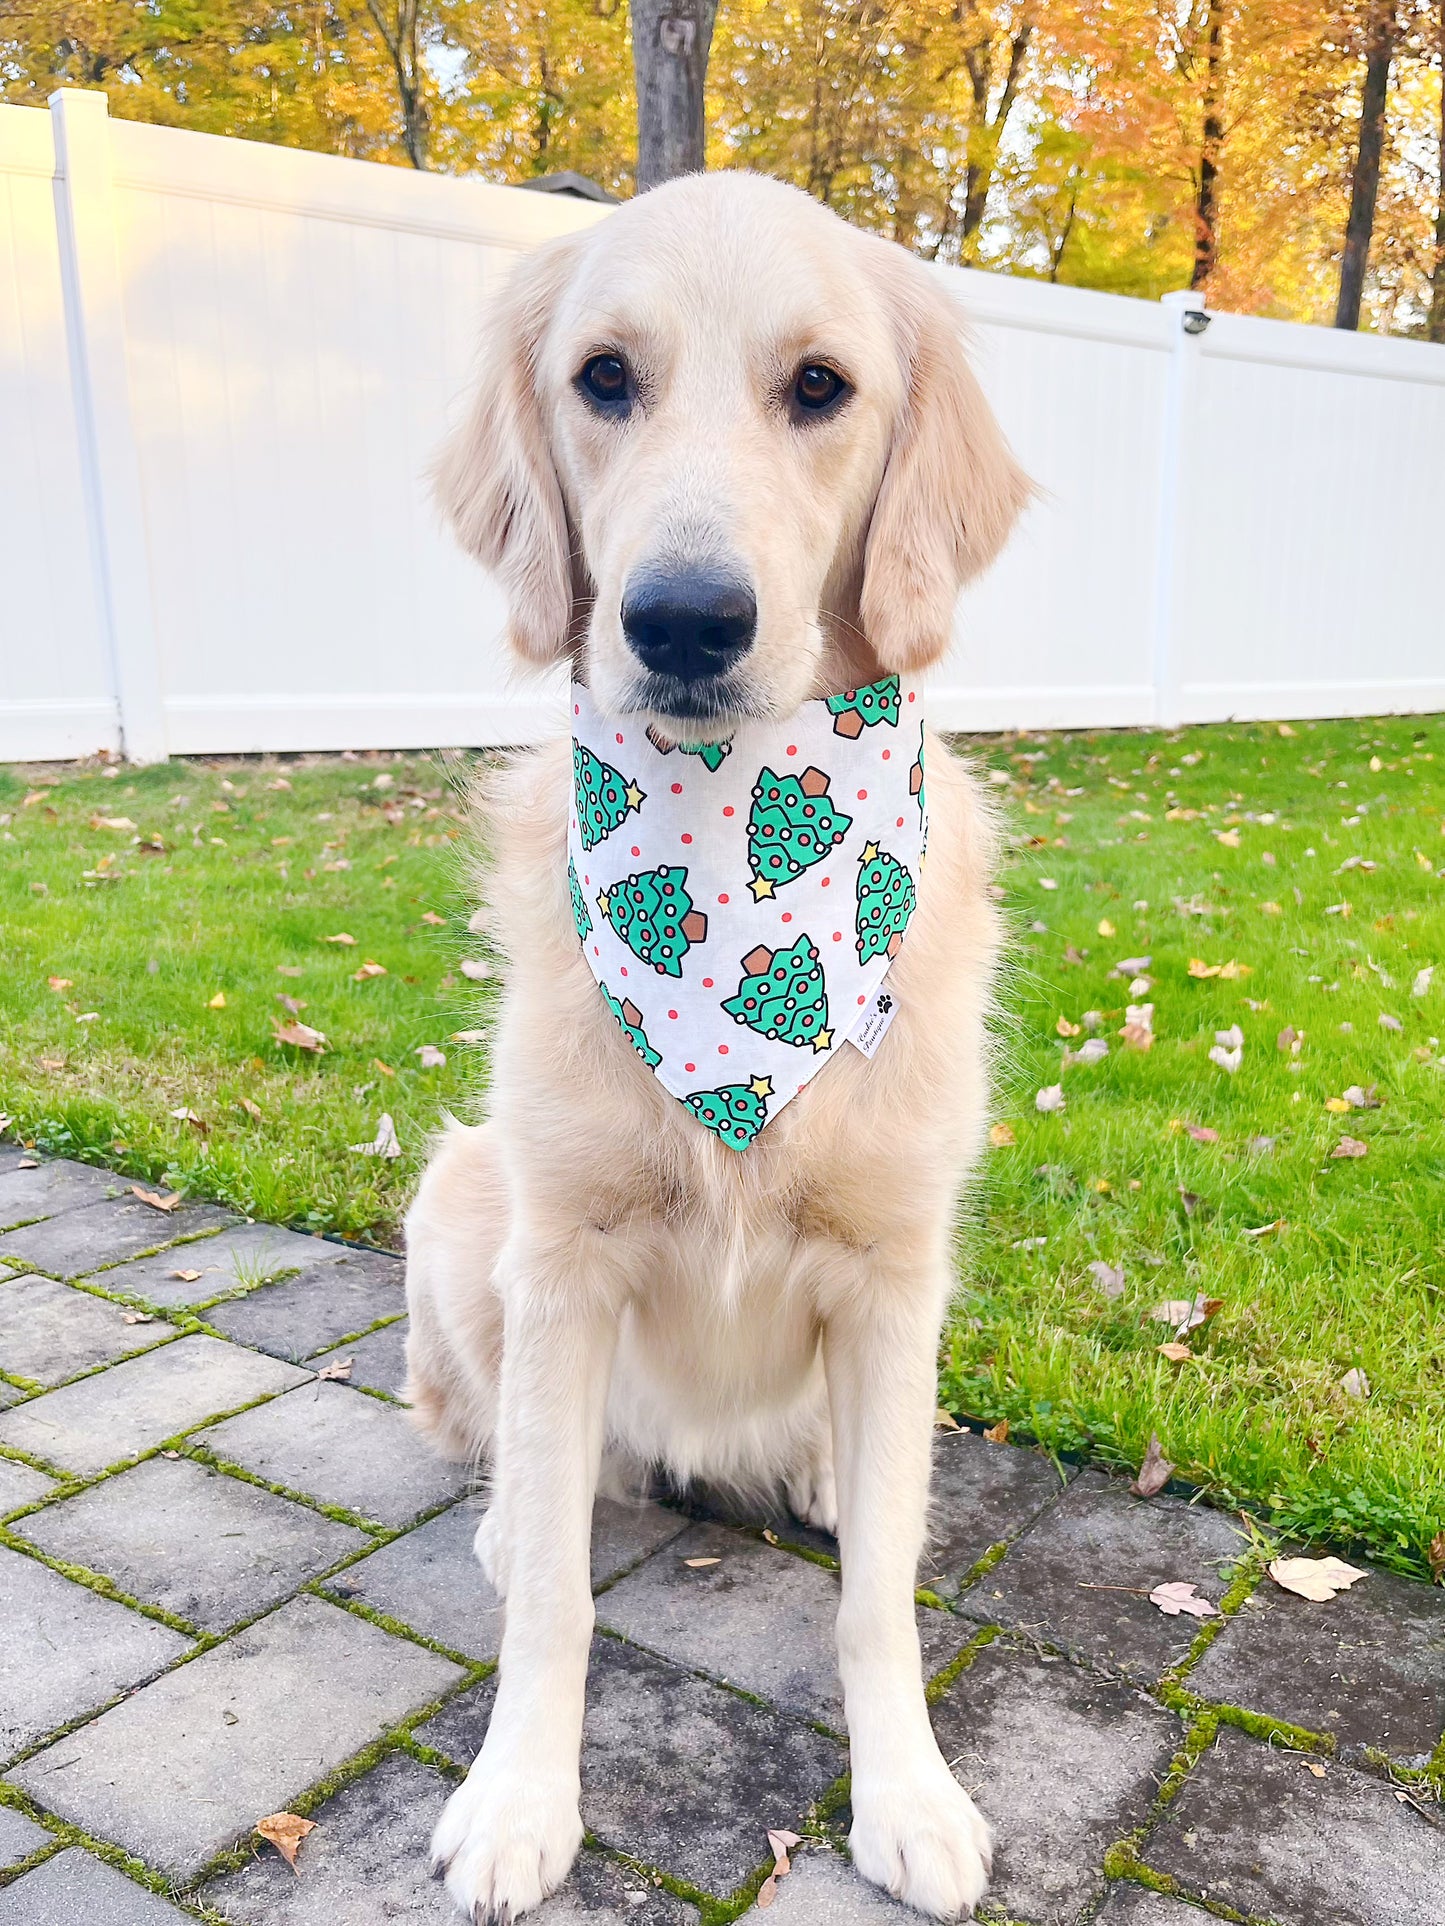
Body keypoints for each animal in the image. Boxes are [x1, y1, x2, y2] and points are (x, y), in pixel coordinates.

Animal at [408, 173, 1032, 1918]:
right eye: (603, 378)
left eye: (819, 386)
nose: (683, 619)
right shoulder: (562, 1254)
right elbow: (556, 1597)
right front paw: (517, 1797)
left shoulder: (895, 1265)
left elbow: (879, 1593)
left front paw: (909, 1793)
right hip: (461, 1201)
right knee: (521, 1459)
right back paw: (511, 1512)